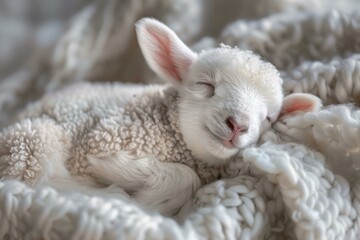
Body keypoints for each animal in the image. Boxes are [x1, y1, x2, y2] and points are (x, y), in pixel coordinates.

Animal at [0, 17, 284, 215]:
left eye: (268, 118)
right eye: (205, 85)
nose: (237, 125)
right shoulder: (103, 137)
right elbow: (184, 177)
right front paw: (131, 187)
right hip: (33, 140)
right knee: (35, 182)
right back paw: (110, 195)